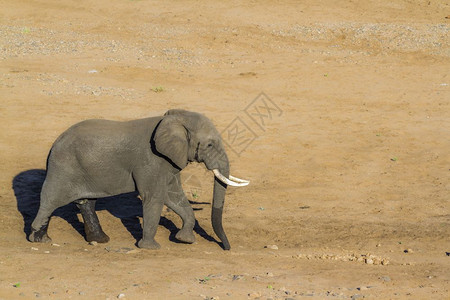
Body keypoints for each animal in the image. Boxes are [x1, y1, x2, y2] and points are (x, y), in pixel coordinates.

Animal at [29, 109, 248, 250]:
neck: (172, 119)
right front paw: (151, 248)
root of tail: (54, 145)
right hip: (63, 167)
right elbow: (155, 196)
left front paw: (185, 240)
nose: (226, 248)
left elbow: (173, 196)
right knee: (50, 201)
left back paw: (101, 240)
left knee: (86, 202)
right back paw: (39, 240)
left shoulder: (168, 161)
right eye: (210, 145)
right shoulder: (150, 159)